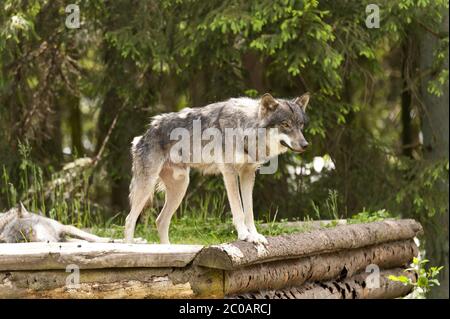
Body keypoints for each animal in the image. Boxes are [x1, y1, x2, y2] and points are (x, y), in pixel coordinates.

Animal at [125, 93, 312, 245]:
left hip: (181, 187)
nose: (305, 145)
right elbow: (239, 210)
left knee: (160, 221)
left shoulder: (248, 175)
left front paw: (255, 236)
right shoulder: (229, 173)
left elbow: (249, 212)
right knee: (130, 220)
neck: (246, 128)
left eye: (301, 125)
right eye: (285, 124)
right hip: (147, 187)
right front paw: (244, 235)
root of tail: (143, 134)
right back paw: (130, 247)